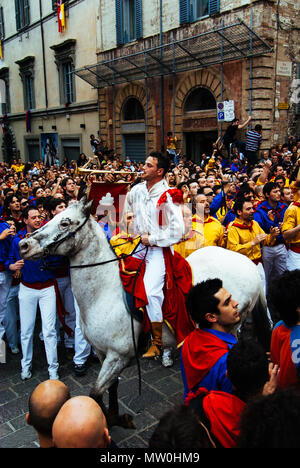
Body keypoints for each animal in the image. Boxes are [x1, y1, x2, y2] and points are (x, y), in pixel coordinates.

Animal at [19, 199, 272, 426]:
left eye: (65, 222)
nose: (24, 245)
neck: (104, 292)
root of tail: (248, 264)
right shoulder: (102, 353)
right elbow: (111, 388)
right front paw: (114, 418)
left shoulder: (118, 356)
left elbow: (95, 394)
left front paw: (108, 421)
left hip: (232, 322)